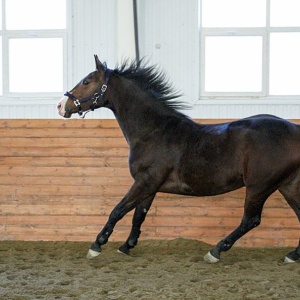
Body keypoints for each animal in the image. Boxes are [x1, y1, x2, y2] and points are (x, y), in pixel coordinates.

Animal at [57, 55, 298, 264]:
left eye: (86, 81)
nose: (61, 106)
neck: (154, 131)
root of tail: (294, 130)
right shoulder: (150, 187)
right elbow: (138, 216)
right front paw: (126, 246)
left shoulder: (144, 182)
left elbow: (118, 210)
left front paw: (96, 246)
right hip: (288, 186)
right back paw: (292, 255)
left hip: (260, 187)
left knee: (250, 220)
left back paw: (215, 251)